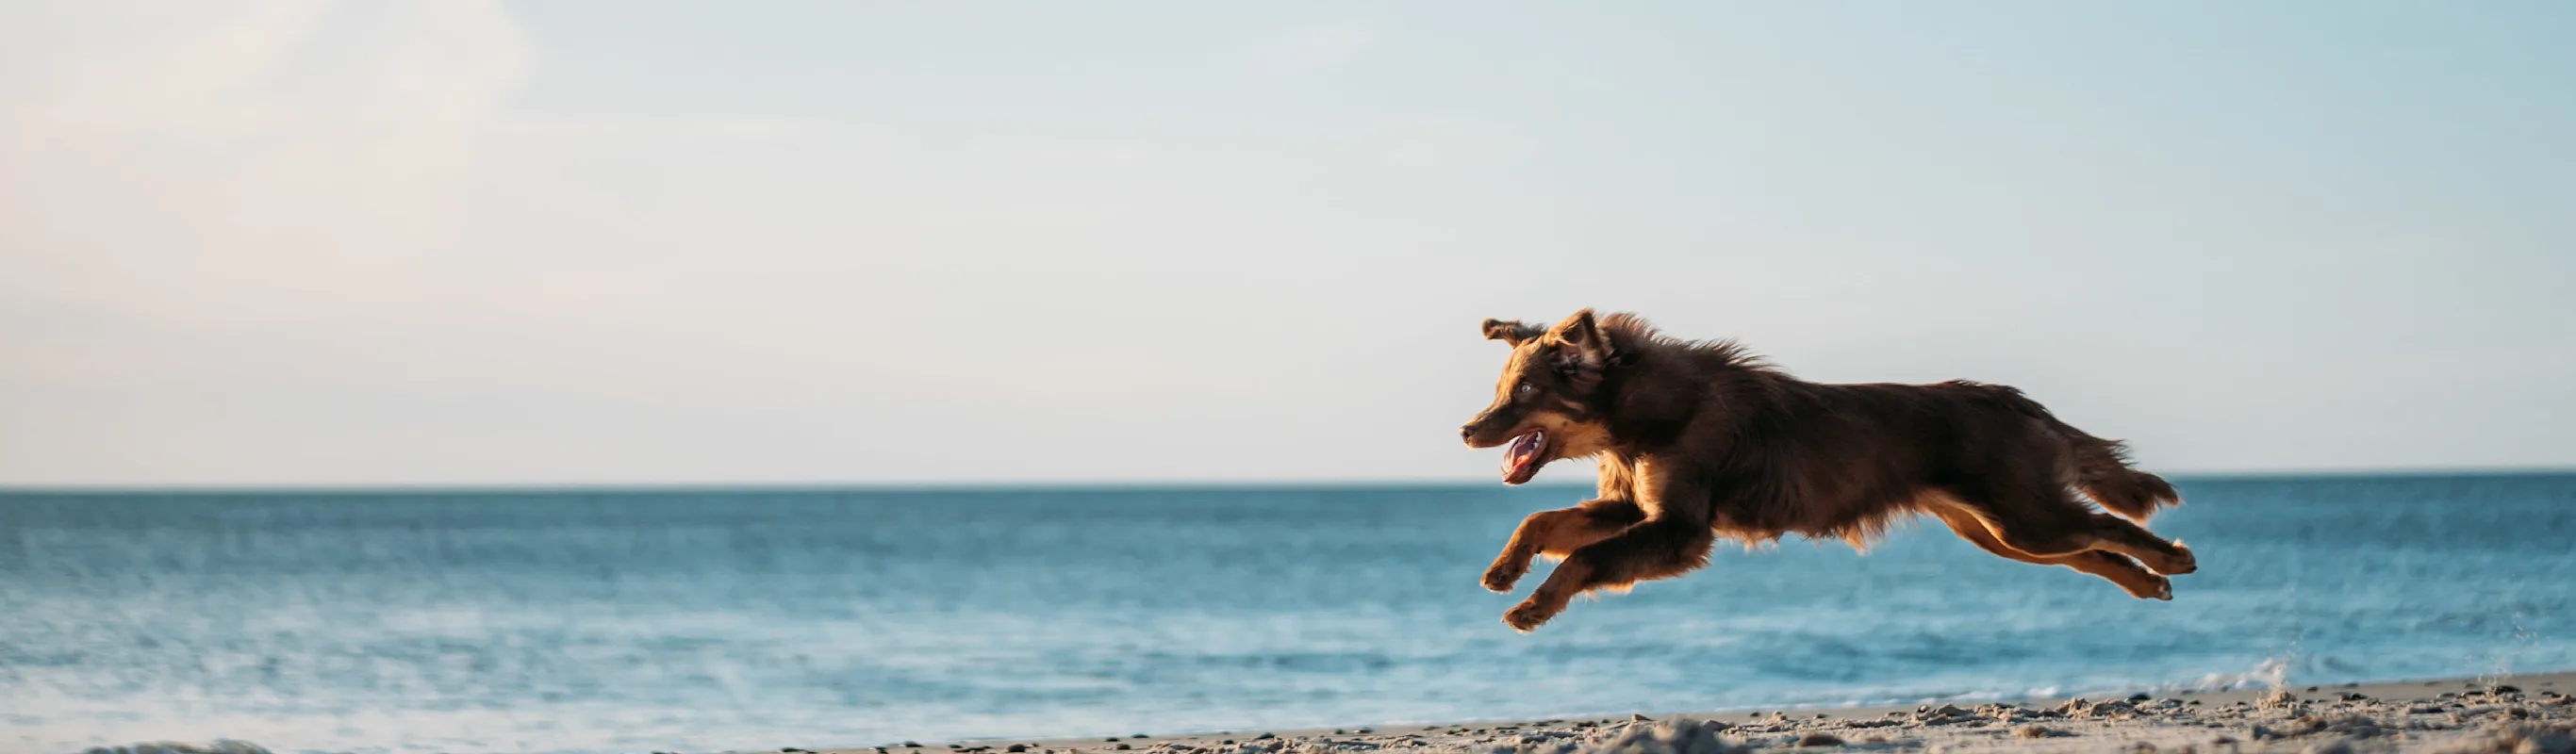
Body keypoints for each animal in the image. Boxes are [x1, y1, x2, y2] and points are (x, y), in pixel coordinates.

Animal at [1462, 308, 2204, 630]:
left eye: (1522, 392)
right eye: (1502, 388)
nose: (1467, 430)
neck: (1642, 415)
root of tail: (2015, 399)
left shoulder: (1679, 529)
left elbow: (1584, 560)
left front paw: (1533, 606)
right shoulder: (1631, 509)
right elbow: (1542, 522)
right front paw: (1504, 570)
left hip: (2022, 518)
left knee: (2109, 527)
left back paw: (2170, 558)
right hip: (1997, 531)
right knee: (2093, 550)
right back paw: (2148, 585)